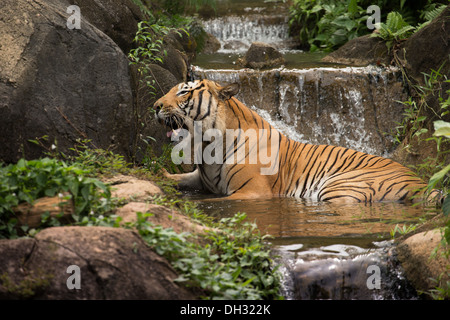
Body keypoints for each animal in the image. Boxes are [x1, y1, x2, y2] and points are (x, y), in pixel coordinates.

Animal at [154, 79, 432, 202]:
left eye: (184, 91)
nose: (155, 106)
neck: (207, 146)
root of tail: (423, 183)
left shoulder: (253, 191)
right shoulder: (202, 178)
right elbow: (179, 178)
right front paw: (160, 175)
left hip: (340, 186)